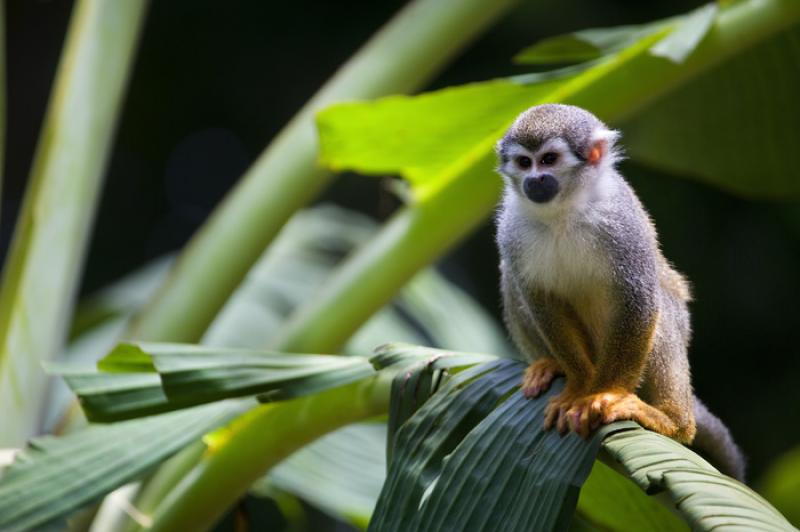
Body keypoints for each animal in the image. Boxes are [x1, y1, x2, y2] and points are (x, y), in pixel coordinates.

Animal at [496, 104, 748, 482]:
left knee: (660, 312)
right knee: (511, 277)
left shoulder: (620, 219)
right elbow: (539, 298)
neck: (564, 210)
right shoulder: (511, 227)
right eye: (525, 163)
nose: (534, 180)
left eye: (549, 159)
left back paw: (674, 422)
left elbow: (638, 297)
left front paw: (603, 394)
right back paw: (549, 363)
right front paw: (577, 386)